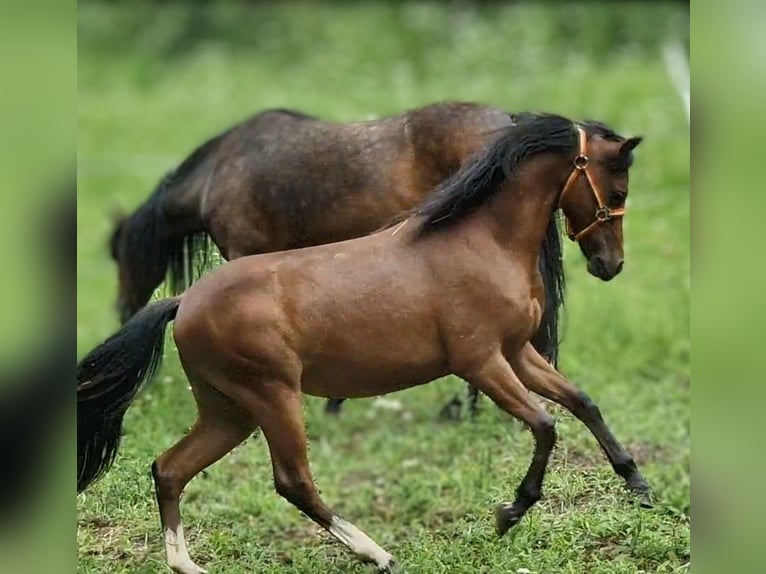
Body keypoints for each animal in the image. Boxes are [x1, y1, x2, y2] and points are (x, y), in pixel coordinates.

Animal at [78, 113, 652, 574]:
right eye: (617, 192)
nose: (611, 264)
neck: (481, 241)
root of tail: (184, 302)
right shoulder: (481, 363)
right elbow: (545, 424)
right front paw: (510, 513)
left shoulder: (518, 353)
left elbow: (582, 402)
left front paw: (638, 484)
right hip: (272, 397)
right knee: (292, 481)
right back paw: (377, 553)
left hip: (229, 411)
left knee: (169, 468)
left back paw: (187, 564)